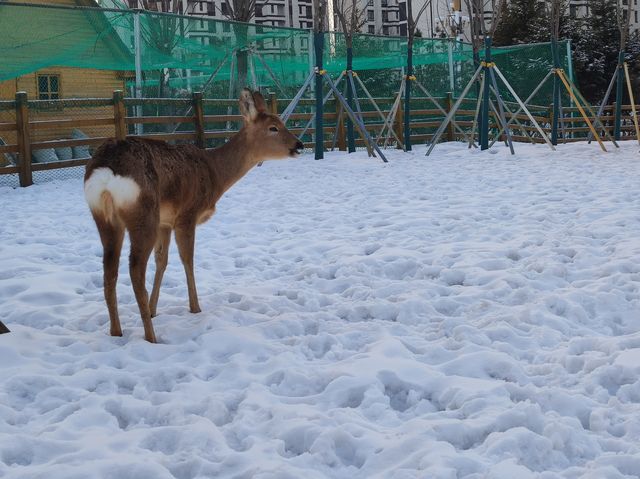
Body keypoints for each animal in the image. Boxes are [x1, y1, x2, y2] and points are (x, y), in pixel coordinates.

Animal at [84, 90, 304, 344]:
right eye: (273, 127)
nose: (299, 144)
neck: (215, 174)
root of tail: (106, 170)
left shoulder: (165, 221)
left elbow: (162, 261)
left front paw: (153, 309)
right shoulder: (187, 215)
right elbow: (187, 259)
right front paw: (195, 307)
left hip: (105, 217)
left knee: (109, 269)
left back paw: (116, 331)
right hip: (143, 214)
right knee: (135, 269)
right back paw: (151, 336)